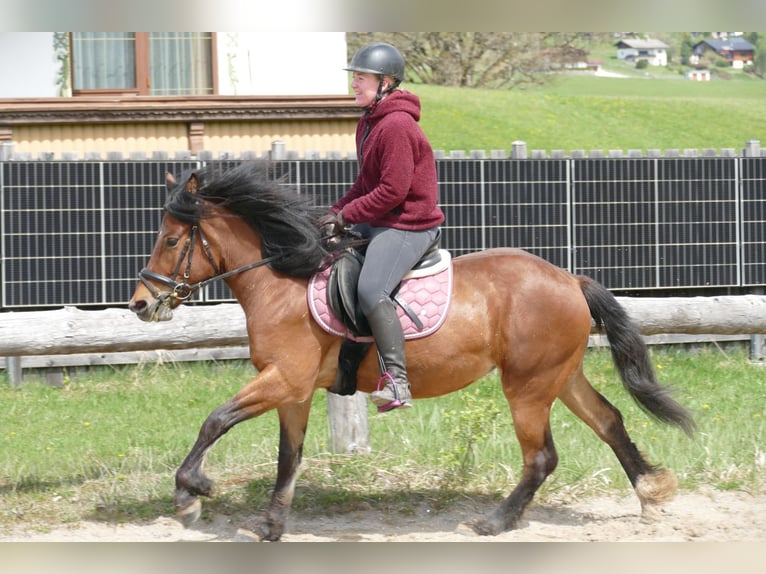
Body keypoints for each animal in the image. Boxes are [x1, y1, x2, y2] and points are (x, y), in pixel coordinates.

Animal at [130, 160, 696, 544]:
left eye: (172, 240)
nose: (140, 303)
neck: (281, 283)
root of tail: (570, 279)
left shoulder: (283, 379)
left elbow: (216, 419)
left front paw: (189, 493)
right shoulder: (294, 390)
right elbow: (288, 457)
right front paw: (269, 525)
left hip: (528, 386)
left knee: (542, 456)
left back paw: (494, 522)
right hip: (560, 375)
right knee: (609, 421)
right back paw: (650, 494)